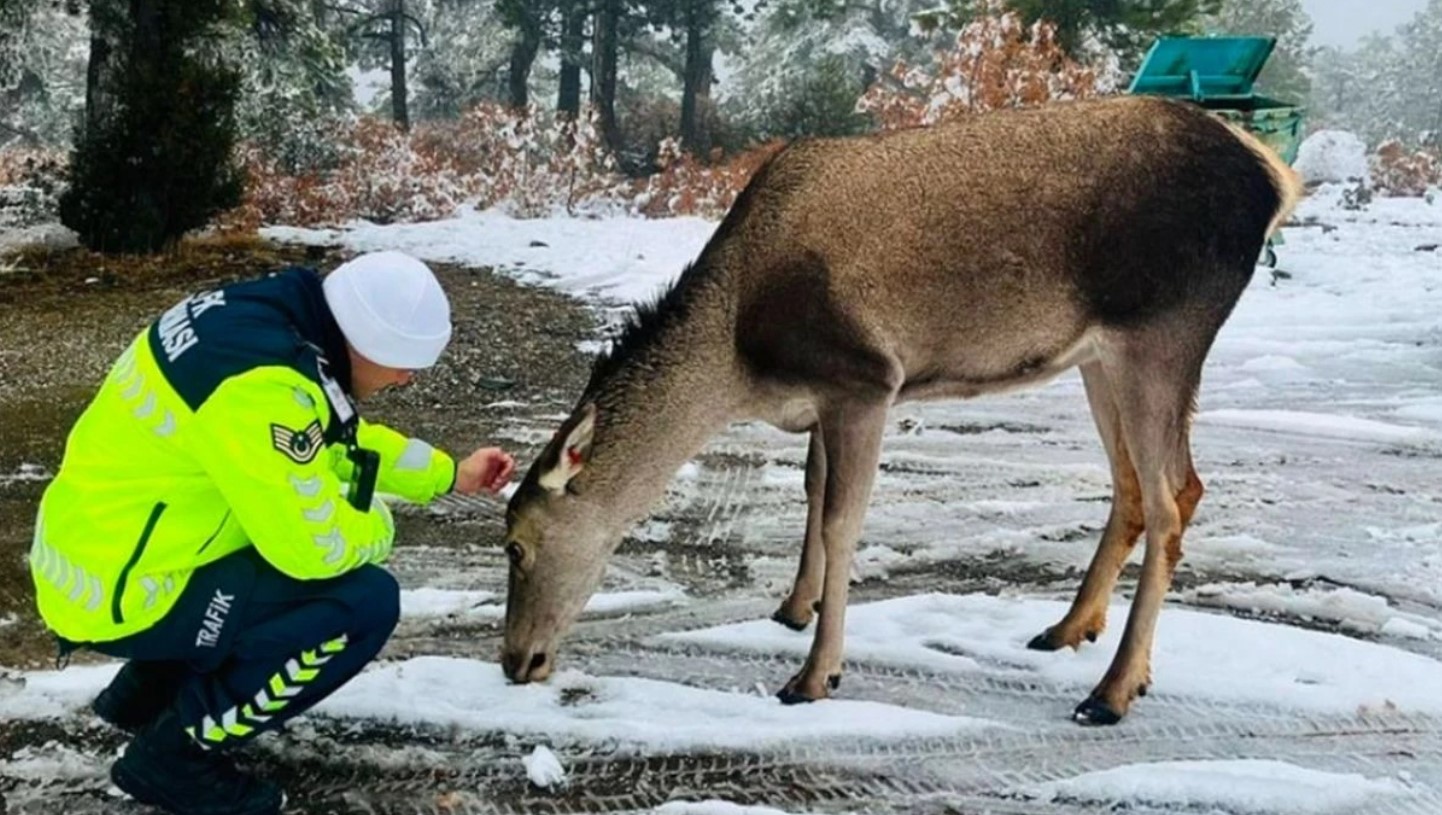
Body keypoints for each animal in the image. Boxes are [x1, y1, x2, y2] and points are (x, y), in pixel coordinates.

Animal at [498, 95, 1309, 724]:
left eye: (516, 545)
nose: (514, 662)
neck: (738, 360)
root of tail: (1276, 180)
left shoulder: (865, 377)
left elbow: (842, 519)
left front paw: (814, 675)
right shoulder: (823, 397)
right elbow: (812, 492)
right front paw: (794, 608)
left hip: (1161, 331)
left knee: (1174, 496)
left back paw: (1112, 690)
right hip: (1099, 357)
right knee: (1143, 486)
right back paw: (1068, 628)